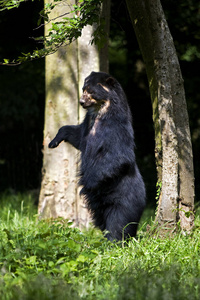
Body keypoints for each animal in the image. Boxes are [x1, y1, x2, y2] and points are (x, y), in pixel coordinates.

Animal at [48, 71, 145, 241]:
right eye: (83, 89)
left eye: (91, 91)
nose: (81, 102)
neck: (100, 112)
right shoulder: (87, 126)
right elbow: (76, 135)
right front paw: (53, 142)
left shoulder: (115, 130)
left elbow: (118, 157)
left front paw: (88, 182)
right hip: (100, 209)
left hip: (124, 199)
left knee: (119, 222)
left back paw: (115, 241)